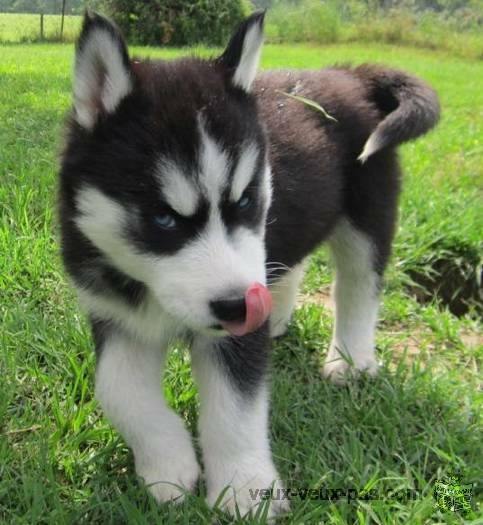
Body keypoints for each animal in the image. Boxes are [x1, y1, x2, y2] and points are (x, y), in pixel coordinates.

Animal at [58, 10, 440, 516]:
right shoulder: (114, 312)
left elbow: (235, 411)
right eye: (163, 218)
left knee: (359, 285)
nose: (241, 307)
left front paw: (244, 488)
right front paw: (167, 464)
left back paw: (350, 358)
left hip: (367, 214)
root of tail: (346, 73)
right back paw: (277, 316)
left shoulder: (236, 327)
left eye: (244, 201)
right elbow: (116, 389)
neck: (149, 290)